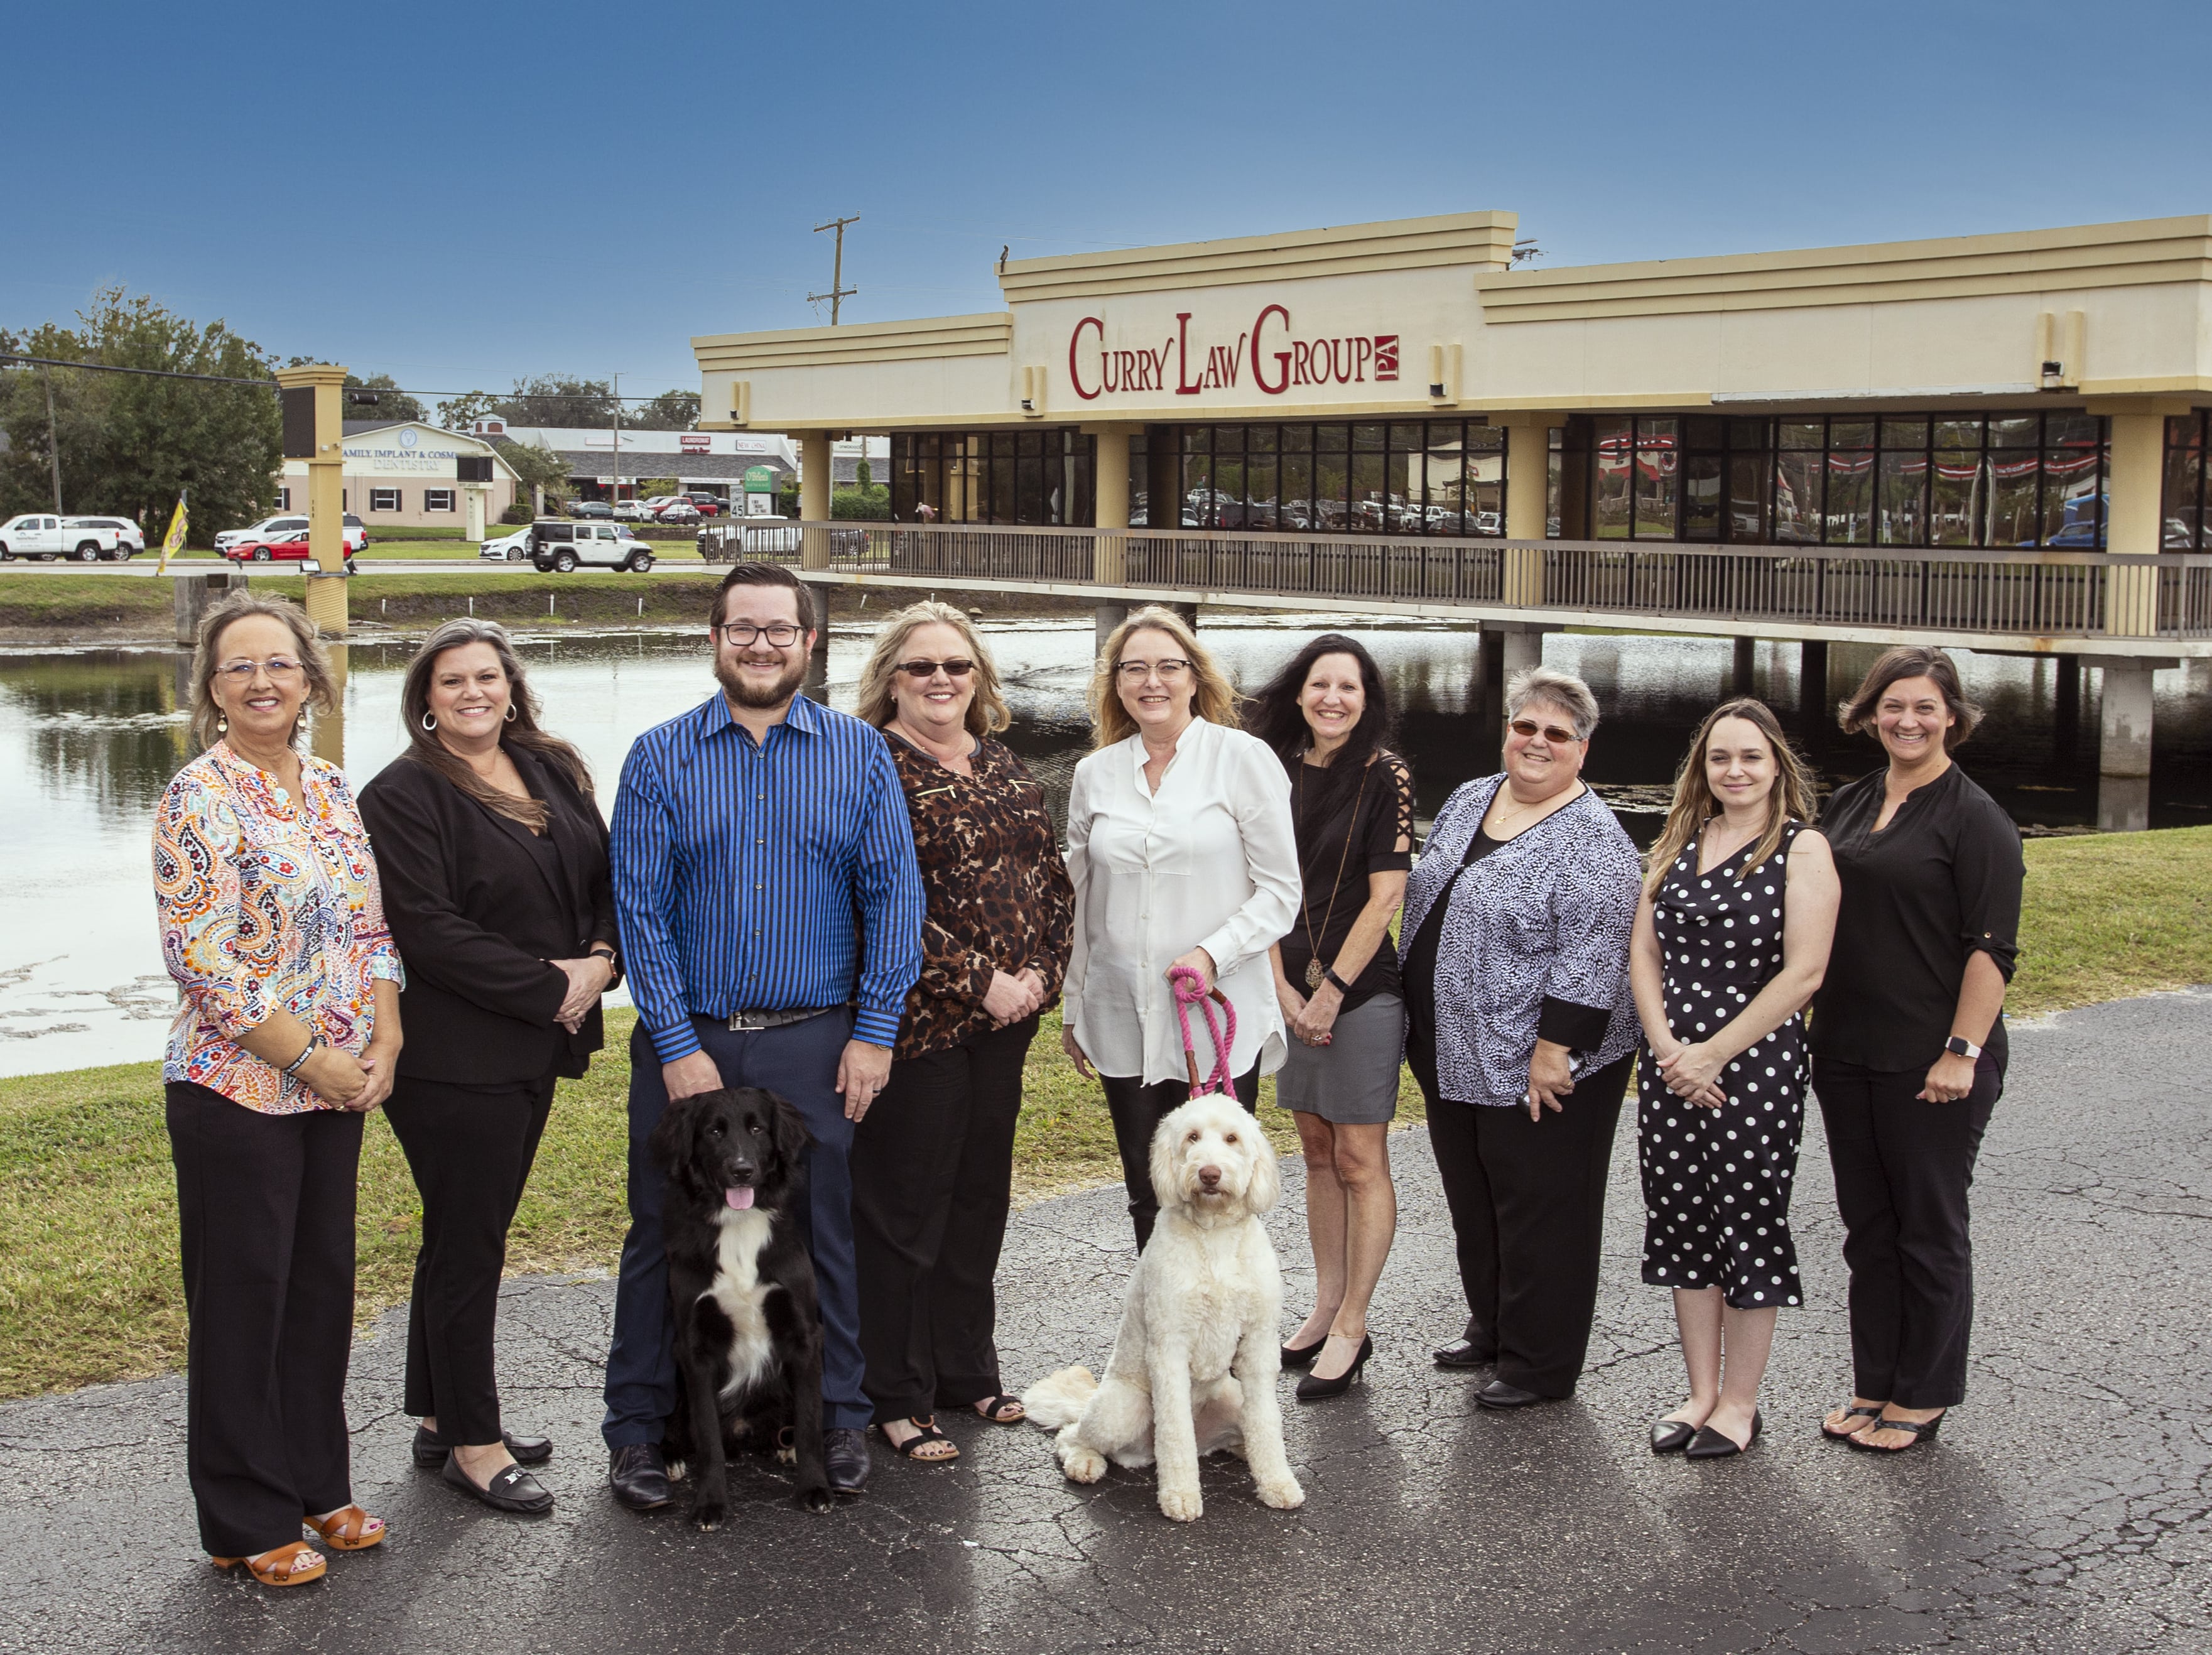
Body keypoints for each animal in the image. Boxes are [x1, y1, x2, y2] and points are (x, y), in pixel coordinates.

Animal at [654, 1084, 836, 1522]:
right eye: (714, 1132)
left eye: (757, 1129)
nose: (742, 1171)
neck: (737, 1226)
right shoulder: (694, 1350)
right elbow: (707, 1438)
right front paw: (710, 1503)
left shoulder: (804, 1336)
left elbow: (810, 1422)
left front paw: (815, 1487)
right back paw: (669, 1458)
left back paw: (784, 1446)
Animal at [1022, 1093, 1300, 1522]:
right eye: (1192, 1137)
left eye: (1232, 1138)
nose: (1209, 1174)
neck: (1214, 1236)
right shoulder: (1169, 1346)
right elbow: (1174, 1432)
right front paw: (1181, 1495)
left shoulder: (1258, 1342)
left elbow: (1267, 1423)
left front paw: (1277, 1482)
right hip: (1122, 1407)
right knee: (1073, 1436)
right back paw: (1085, 1462)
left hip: (1232, 1397)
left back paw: (1241, 1449)